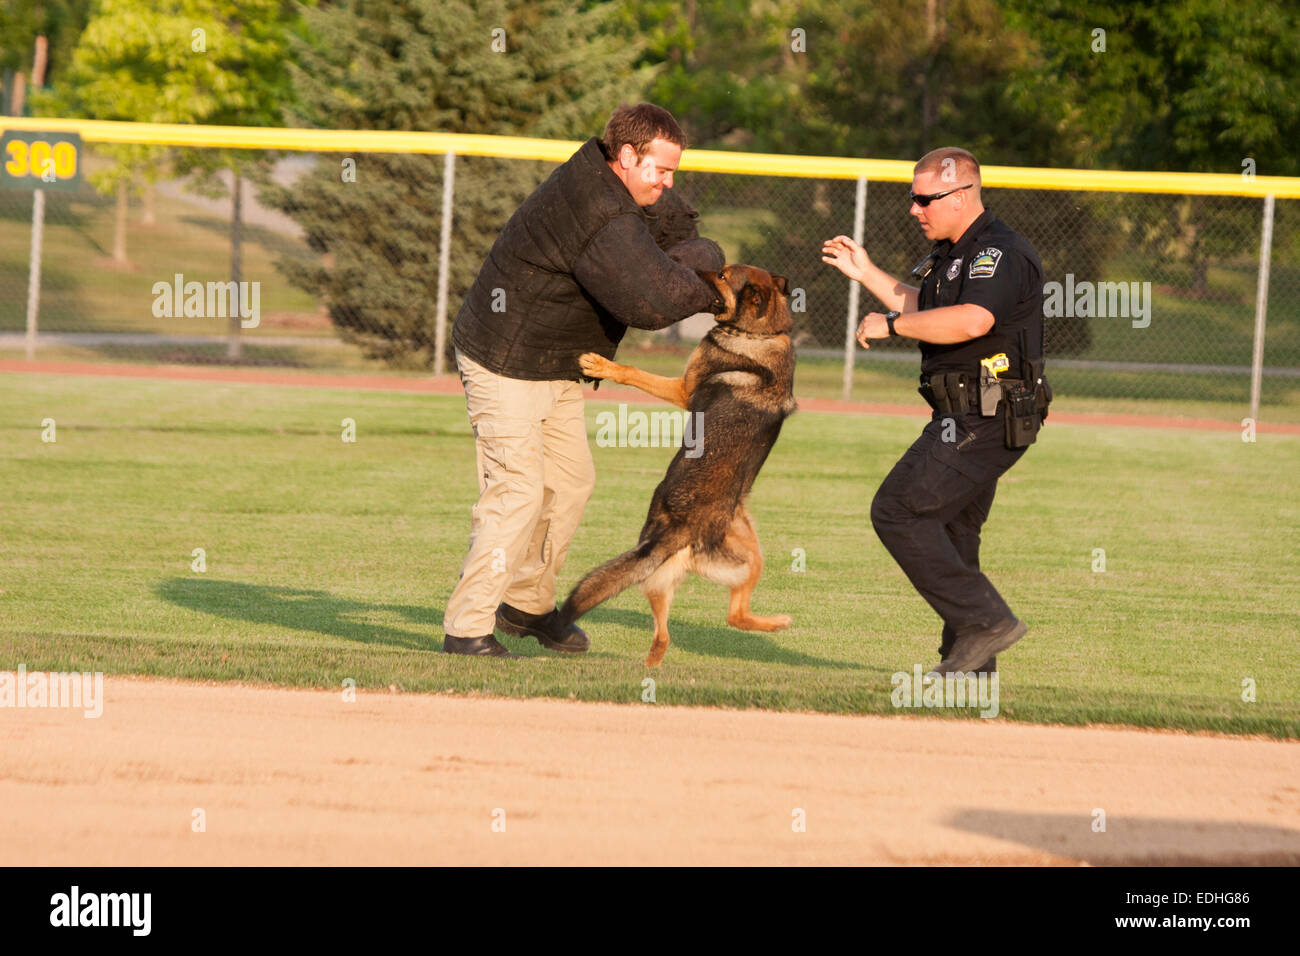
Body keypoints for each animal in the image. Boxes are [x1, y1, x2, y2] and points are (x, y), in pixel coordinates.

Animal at [561, 261, 795, 665]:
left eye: (722, 275)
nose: (697, 269)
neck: (762, 332)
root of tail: (683, 532)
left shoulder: (684, 390)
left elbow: (635, 371)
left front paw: (603, 365)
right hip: (740, 561)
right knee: (694, 627)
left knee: (723, 619)